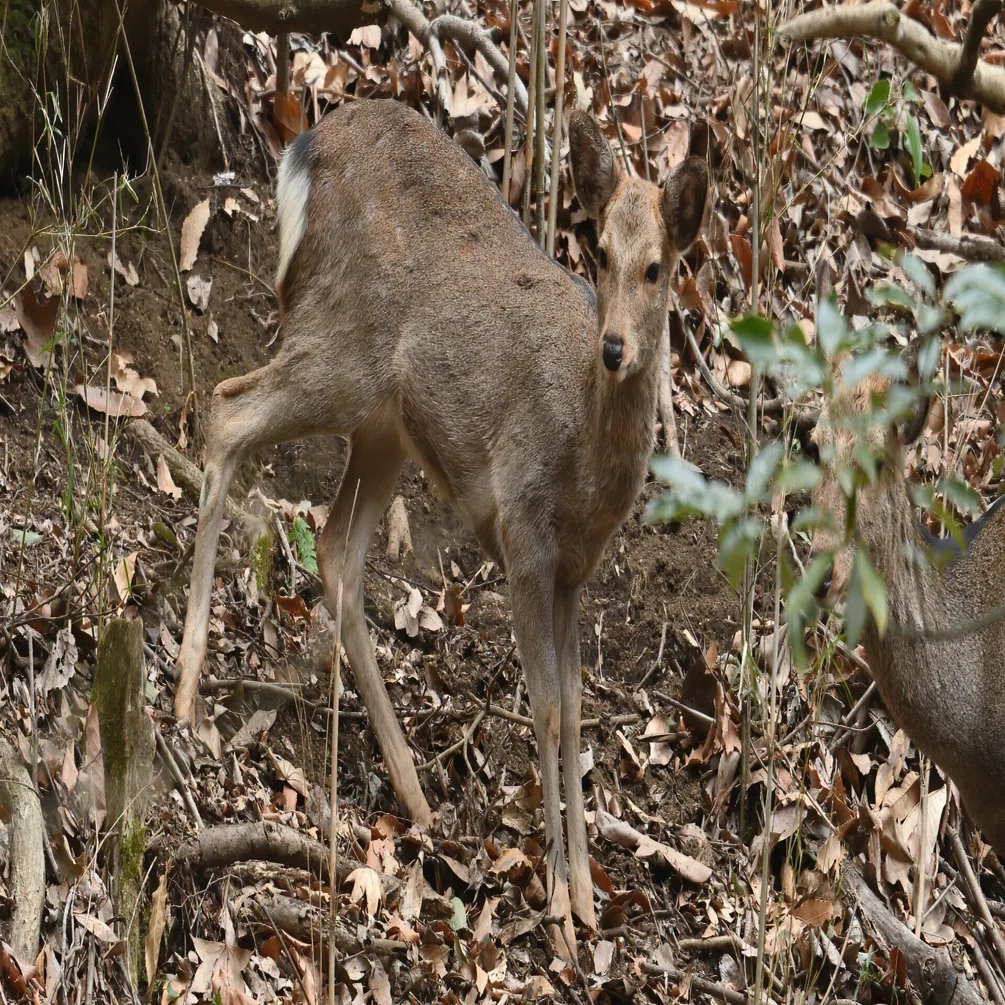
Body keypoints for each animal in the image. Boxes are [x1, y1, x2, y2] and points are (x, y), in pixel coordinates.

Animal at [173, 97, 708, 957]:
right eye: (597, 251)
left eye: (658, 265)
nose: (615, 348)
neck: (588, 471)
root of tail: (305, 148)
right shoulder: (524, 532)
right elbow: (546, 707)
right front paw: (560, 914)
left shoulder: (573, 572)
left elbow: (576, 709)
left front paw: (586, 896)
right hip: (340, 347)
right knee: (225, 411)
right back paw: (187, 694)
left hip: (384, 424)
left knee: (335, 546)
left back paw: (416, 796)